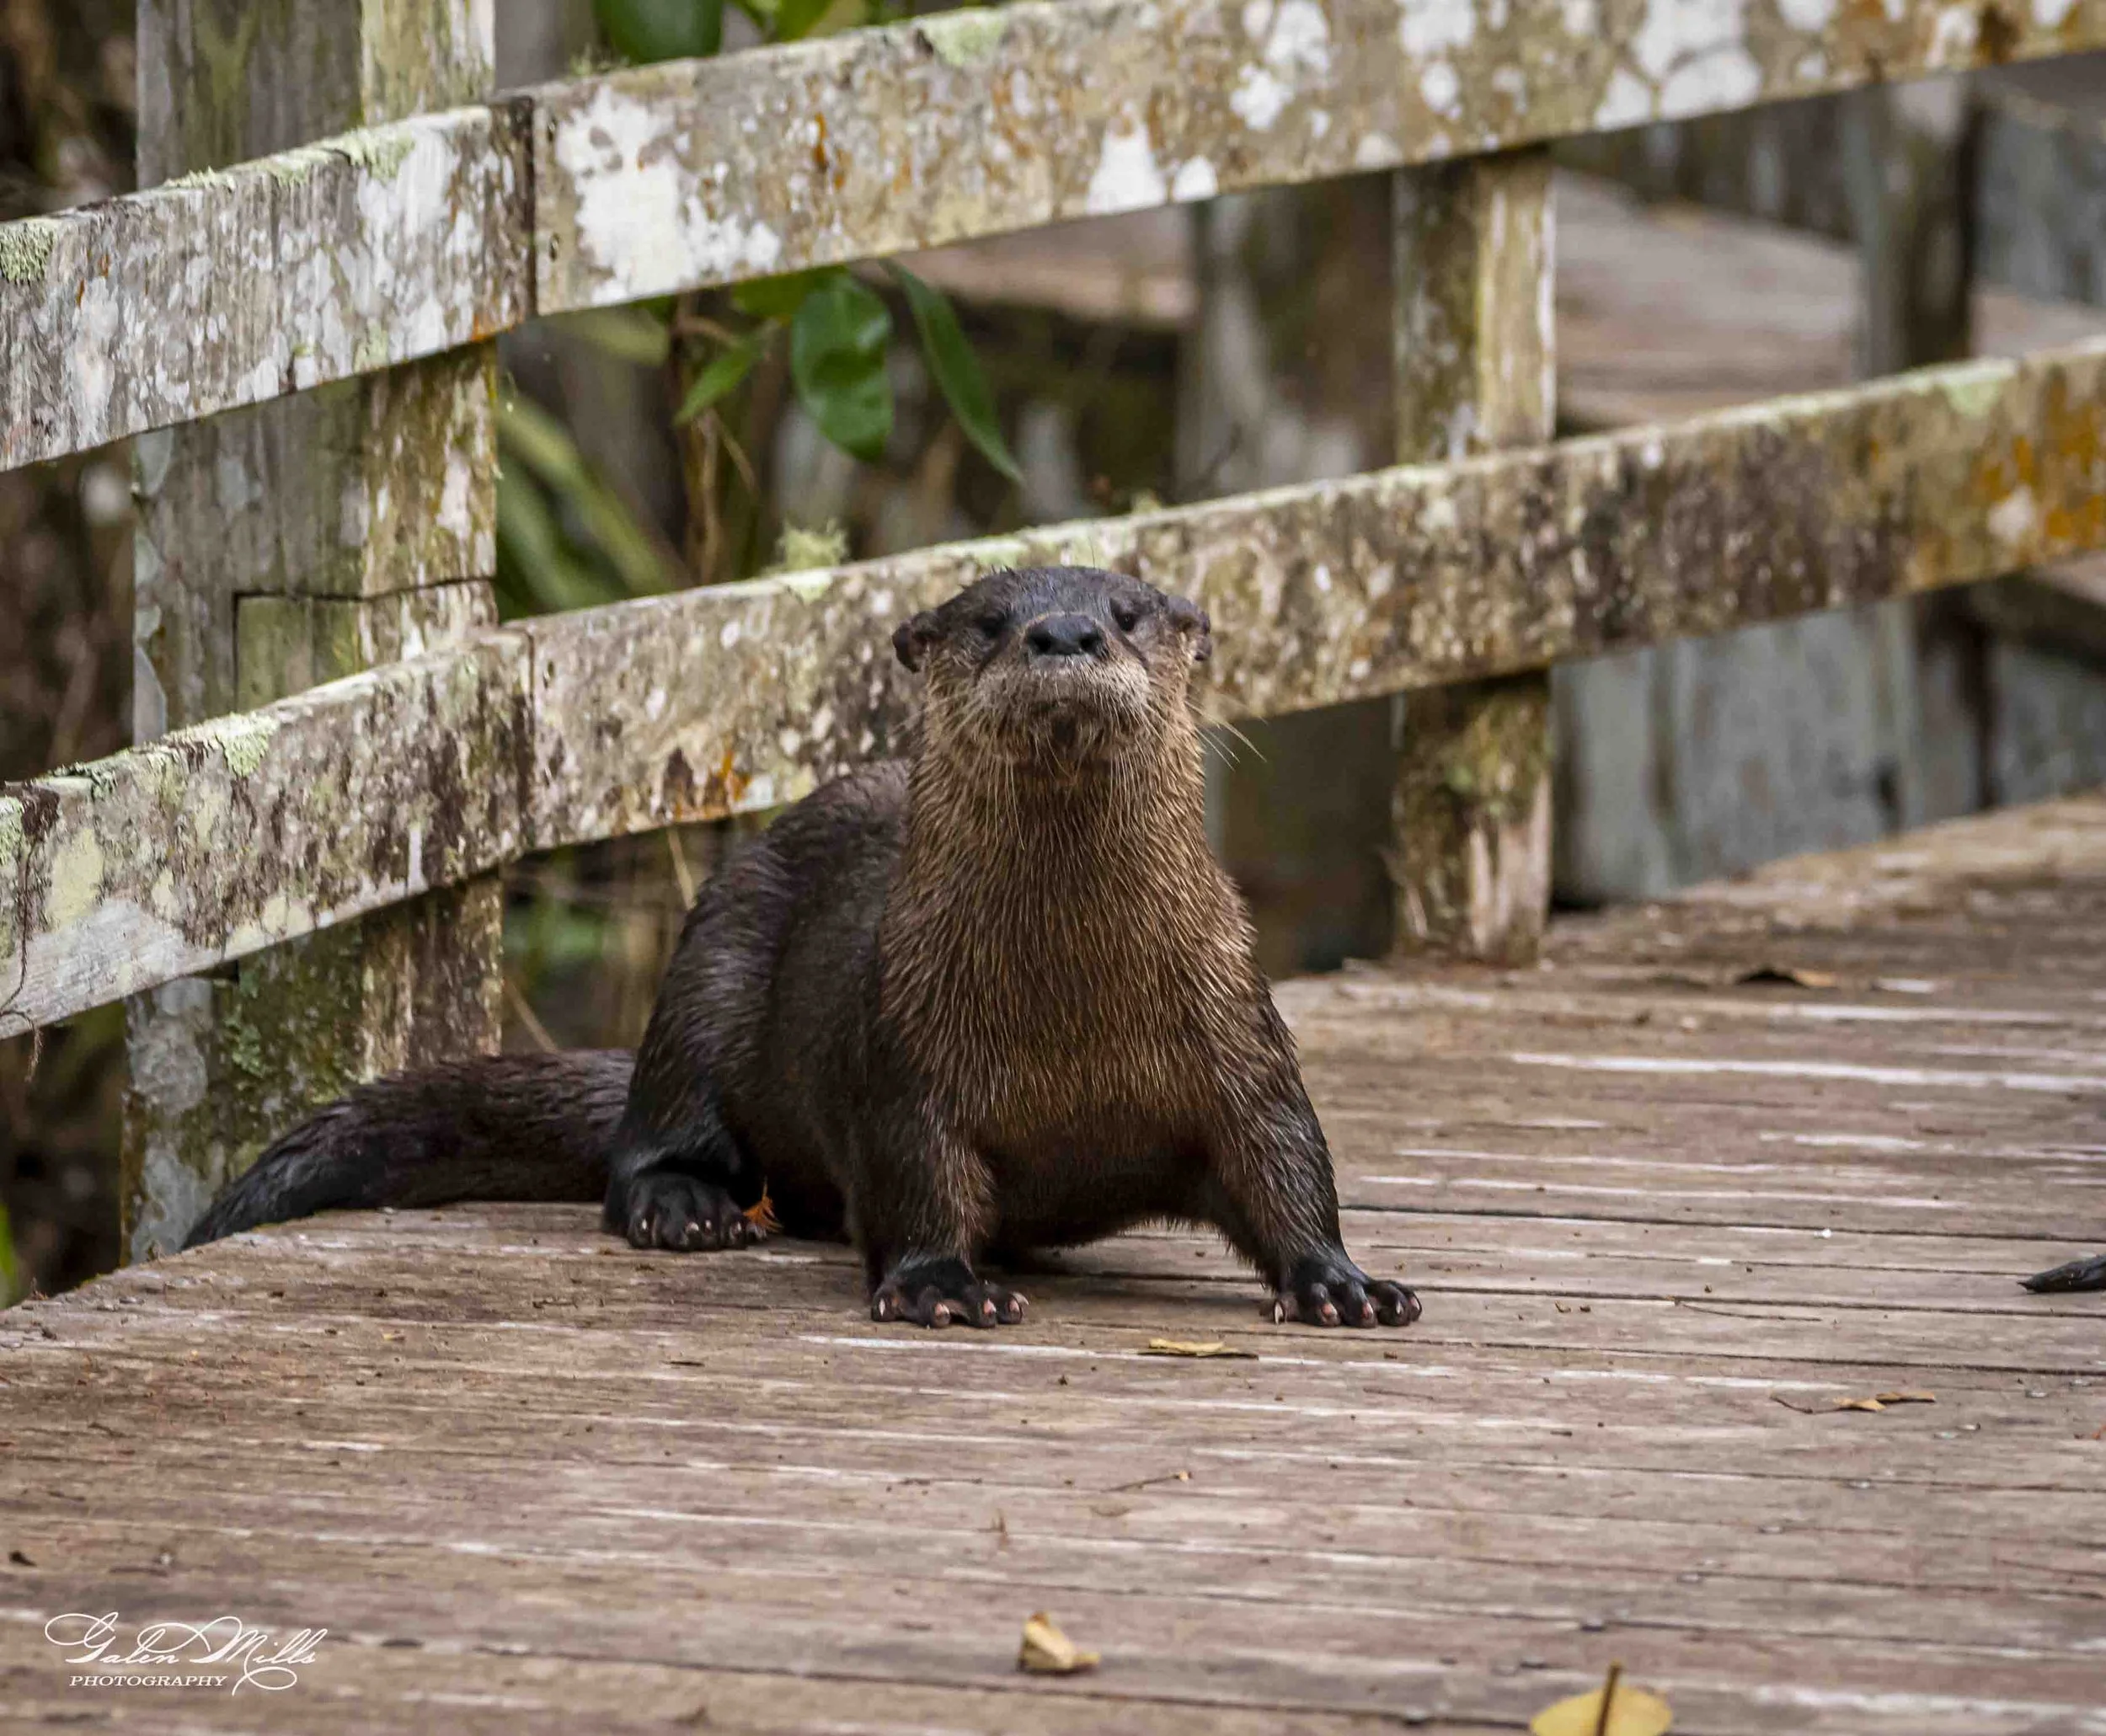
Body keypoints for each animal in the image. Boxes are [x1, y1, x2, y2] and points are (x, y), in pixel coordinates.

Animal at [187, 566, 1419, 1330]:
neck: (1072, 1012)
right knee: (646, 1139)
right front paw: (941, 1286)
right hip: (710, 966)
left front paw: (1344, 1284)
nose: (1061, 633)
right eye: (989, 618)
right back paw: (687, 1211)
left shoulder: (1238, 1031)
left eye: (1126, 611)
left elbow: (1286, 1162)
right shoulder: (904, 1055)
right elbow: (913, 1175)